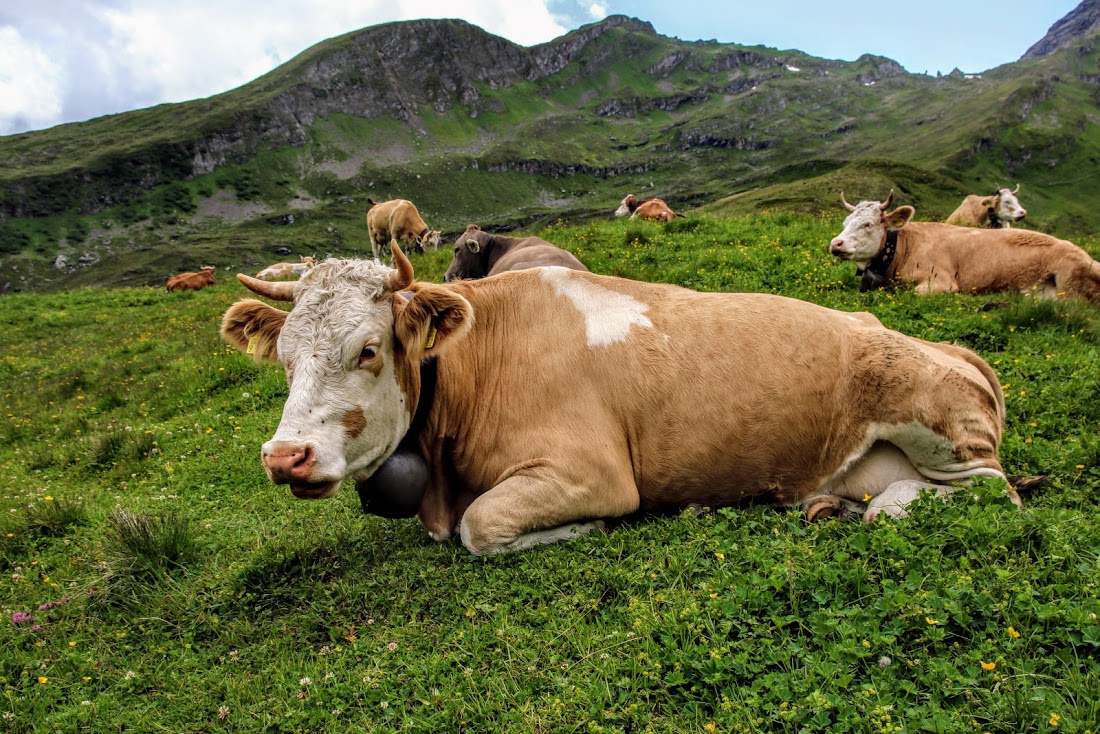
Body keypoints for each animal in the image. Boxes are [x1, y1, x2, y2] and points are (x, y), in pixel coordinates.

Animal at [221, 244, 1020, 554]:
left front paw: (585, 529)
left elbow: (483, 526)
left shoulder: (593, 473)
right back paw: (836, 504)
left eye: (368, 348)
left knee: (994, 493)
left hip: (937, 420)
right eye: (284, 360)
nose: (286, 457)